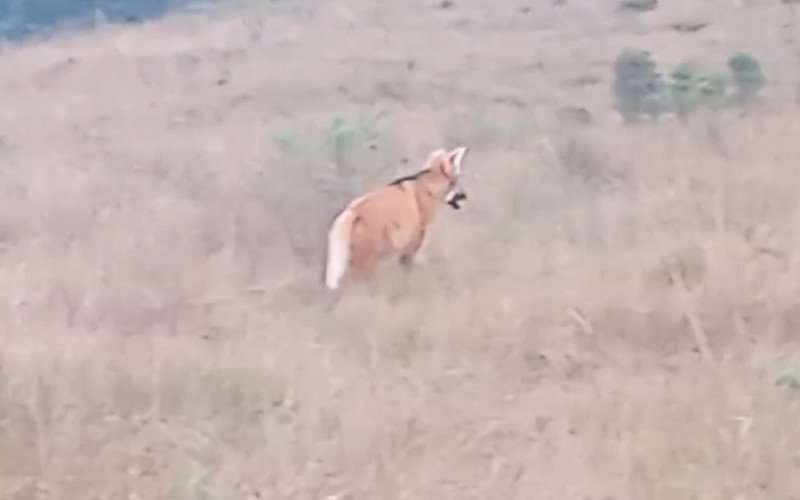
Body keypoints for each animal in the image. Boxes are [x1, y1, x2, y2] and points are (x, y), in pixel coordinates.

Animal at [323, 146, 469, 290]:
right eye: (455, 181)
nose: (465, 195)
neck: (427, 187)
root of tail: (353, 210)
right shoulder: (417, 235)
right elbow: (412, 260)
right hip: (368, 258)